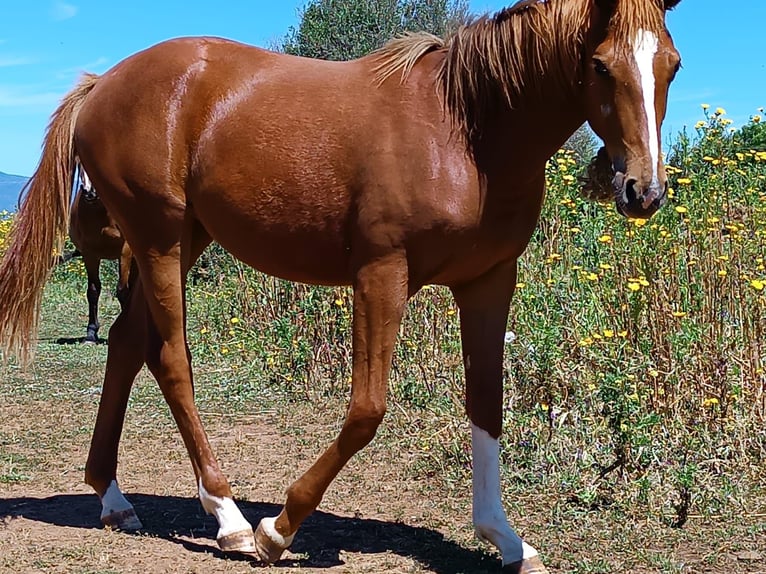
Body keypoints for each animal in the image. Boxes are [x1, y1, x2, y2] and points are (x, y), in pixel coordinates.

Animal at [0, 2, 684, 572]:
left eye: (672, 64)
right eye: (600, 65)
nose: (643, 191)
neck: (466, 130)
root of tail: (101, 84)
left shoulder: (488, 282)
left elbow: (487, 405)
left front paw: (505, 537)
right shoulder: (381, 274)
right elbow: (367, 409)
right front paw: (279, 529)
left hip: (180, 238)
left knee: (123, 342)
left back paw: (113, 498)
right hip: (160, 239)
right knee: (169, 359)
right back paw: (229, 518)